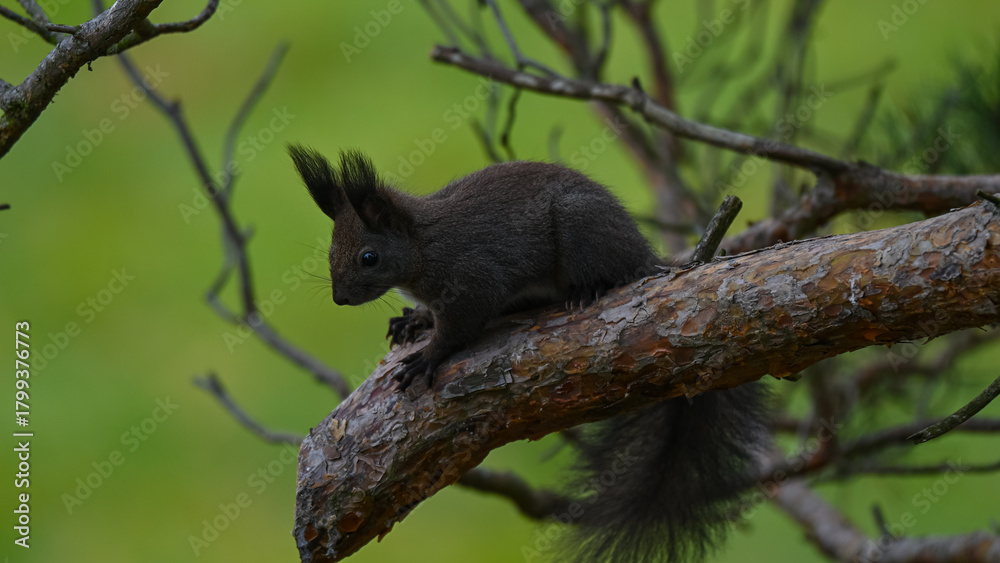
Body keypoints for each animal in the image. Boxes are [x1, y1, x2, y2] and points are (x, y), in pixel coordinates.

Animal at [288, 144, 769, 563]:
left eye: (368, 257)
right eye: (331, 252)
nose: (339, 298)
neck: (423, 246)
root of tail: (644, 252)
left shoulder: (472, 278)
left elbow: (462, 326)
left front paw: (428, 355)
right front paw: (416, 320)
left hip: (581, 228)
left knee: (613, 271)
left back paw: (590, 288)